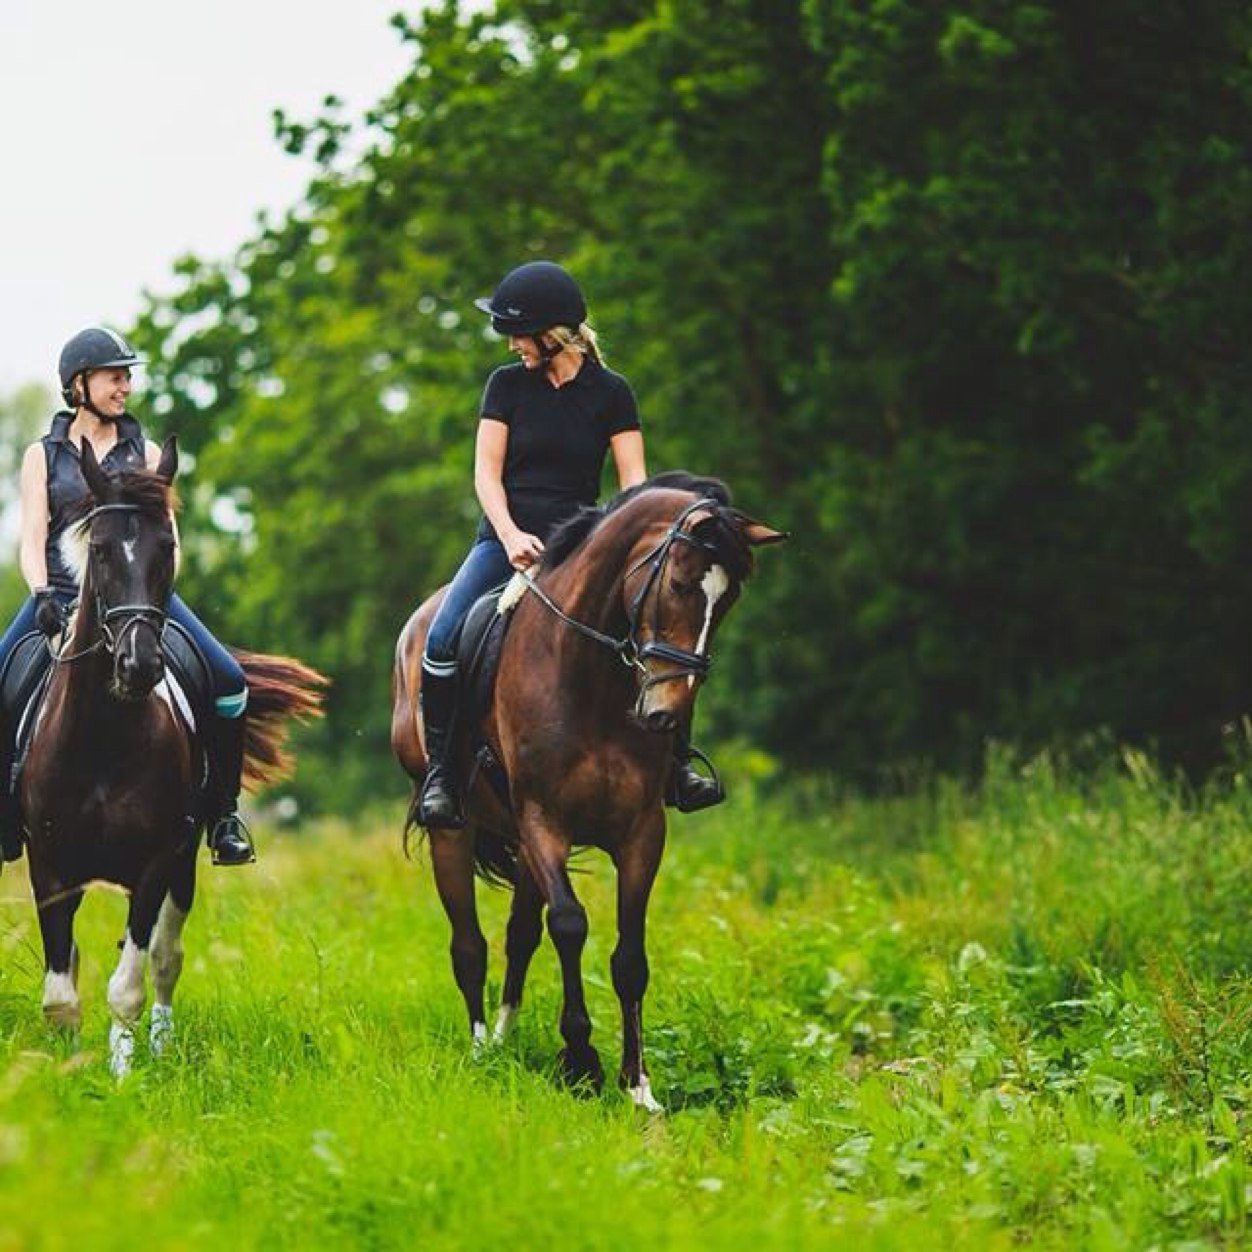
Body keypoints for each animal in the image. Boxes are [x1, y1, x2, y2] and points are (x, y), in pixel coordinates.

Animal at [19, 436, 325, 1076]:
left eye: (168, 549)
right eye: (100, 550)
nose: (139, 665)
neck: (102, 739)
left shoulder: (156, 864)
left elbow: (130, 981)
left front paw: (123, 1074)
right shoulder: (50, 865)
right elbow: (60, 991)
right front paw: (65, 1069)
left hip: (184, 866)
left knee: (165, 957)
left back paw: (159, 1046)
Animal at [392, 472, 786, 1109]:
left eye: (726, 603)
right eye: (679, 583)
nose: (665, 714)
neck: (588, 678)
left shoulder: (642, 832)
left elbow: (628, 956)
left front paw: (637, 1084)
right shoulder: (543, 822)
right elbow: (570, 925)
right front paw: (580, 1060)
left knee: (518, 935)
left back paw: (503, 1038)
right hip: (458, 831)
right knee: (469, 943)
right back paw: (480, 1050)